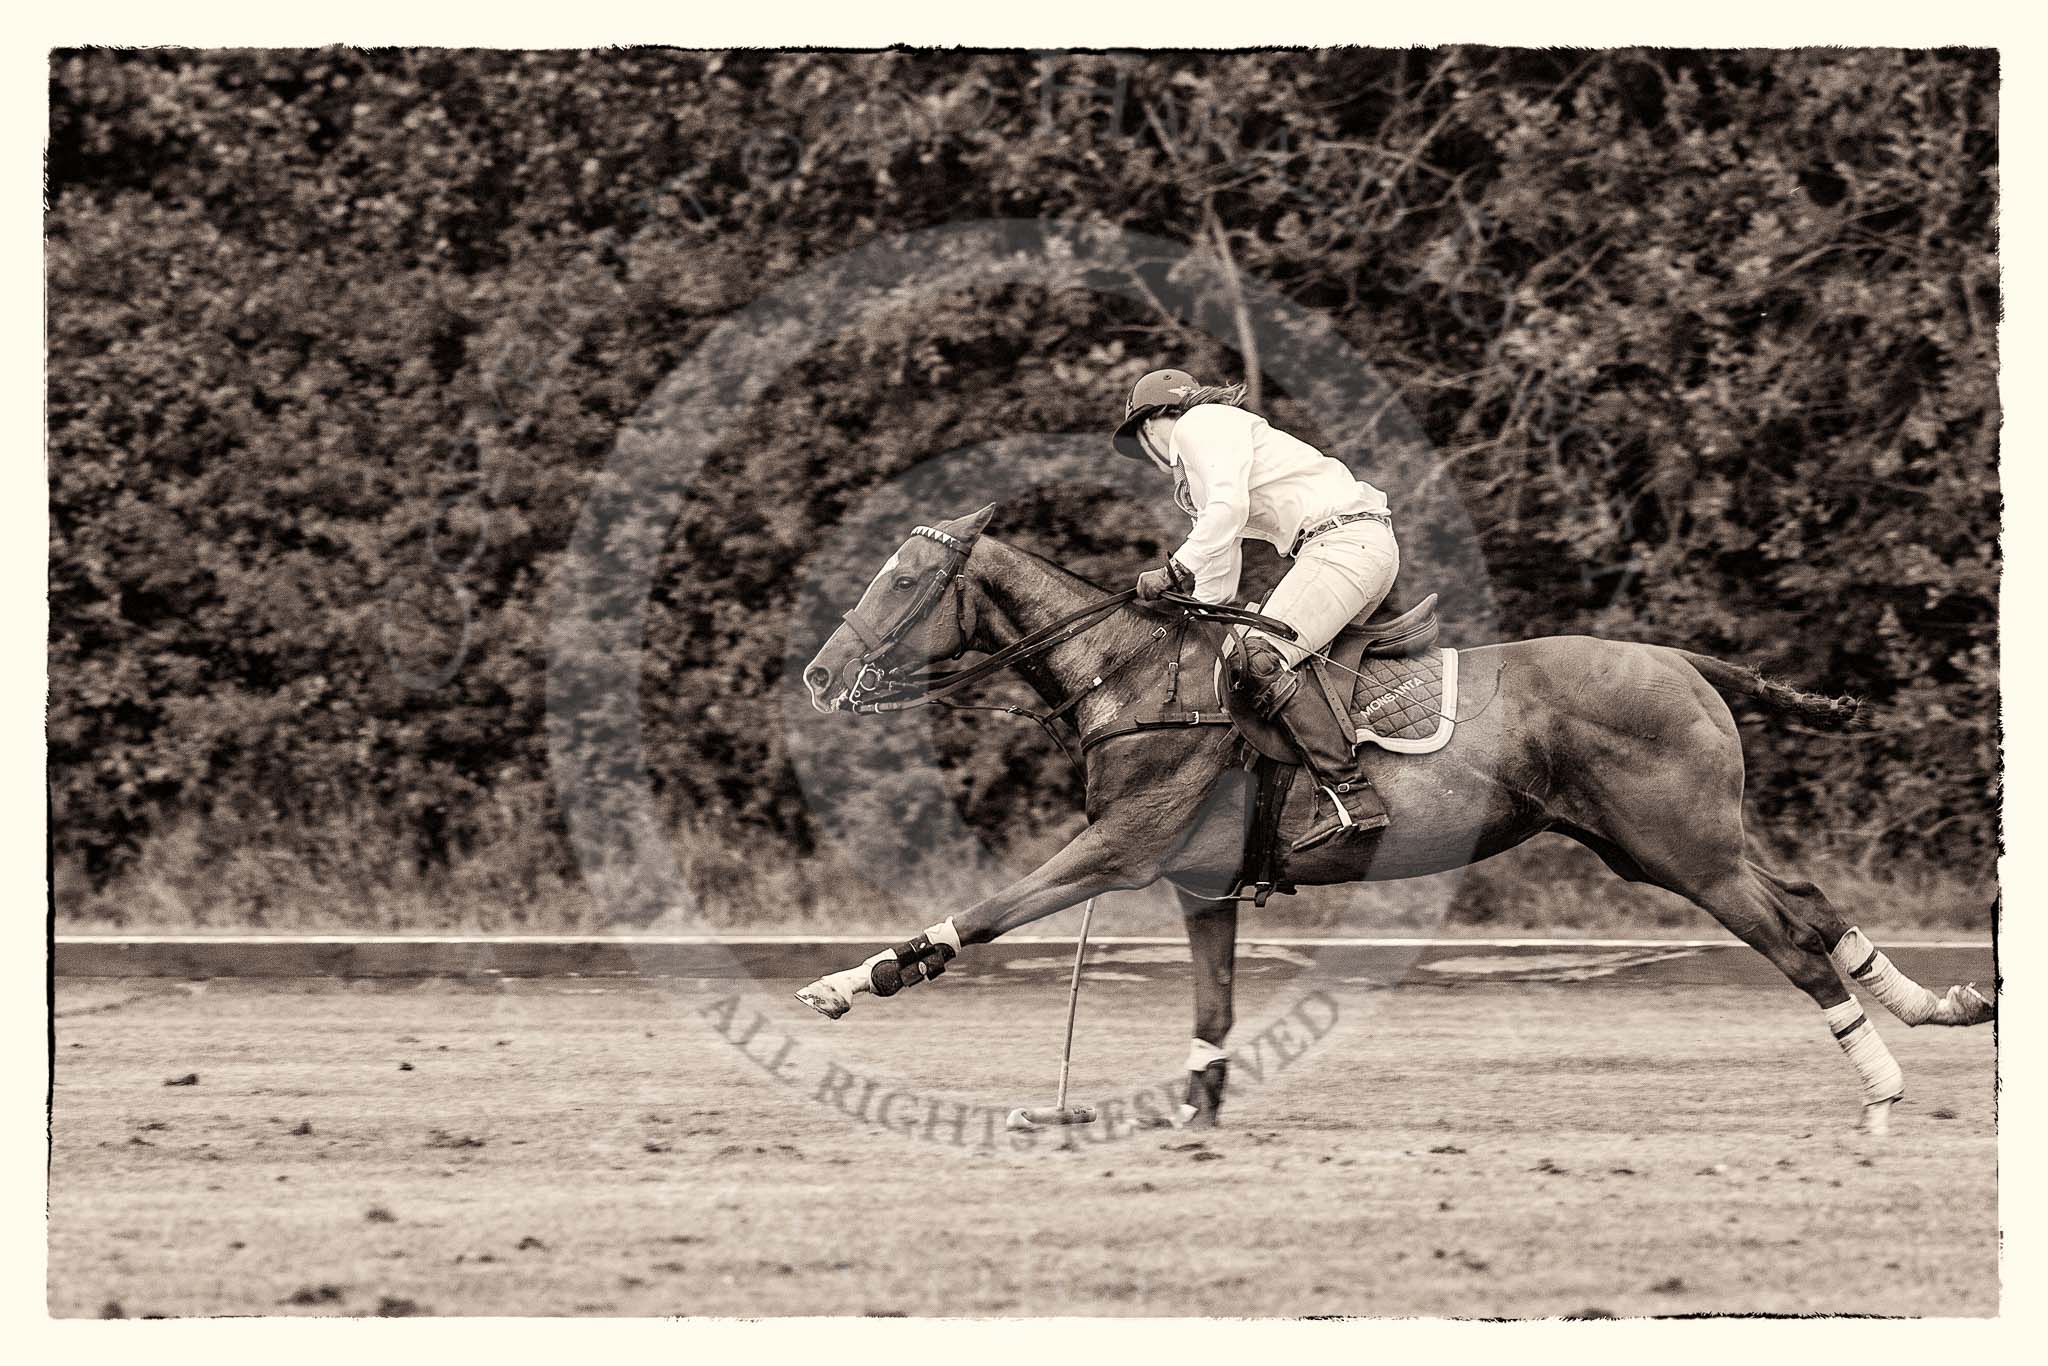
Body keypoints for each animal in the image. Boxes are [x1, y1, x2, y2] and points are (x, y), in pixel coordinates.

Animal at [790, 507, 1990, 1138]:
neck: (1126, 674)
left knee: (1792, 939)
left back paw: (1882, 1090)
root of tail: (1681, 659)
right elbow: (1214, 1011)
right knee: (1816, 906)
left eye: (903, 576)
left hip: (1680, 847)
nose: (818, 675)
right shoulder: (1198, 883)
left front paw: (851, 982)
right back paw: (1945, 1006)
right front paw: (1197, 1113)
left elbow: (990, 910)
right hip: (1672, 843)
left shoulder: (1120, 847)